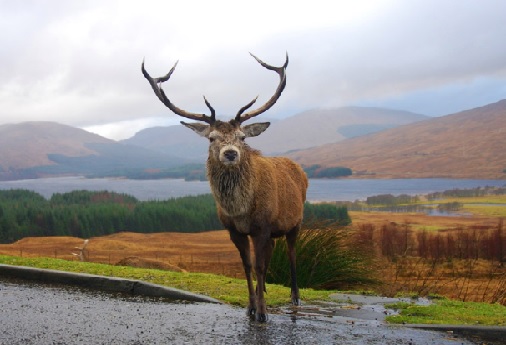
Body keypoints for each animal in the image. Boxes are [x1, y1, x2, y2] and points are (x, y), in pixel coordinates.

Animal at [141, 52, 308, 322]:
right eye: (212, 138)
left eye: (242, 137)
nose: (230, 153)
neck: (240, 210)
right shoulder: (234, 230)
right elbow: (248, 266)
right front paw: (251, 307)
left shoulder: (262, 226)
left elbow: (259, 265)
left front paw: (263, 313)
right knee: (271, 254)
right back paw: (265, 291)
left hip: (296, 221)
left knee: (292, 254)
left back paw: (295, 297)